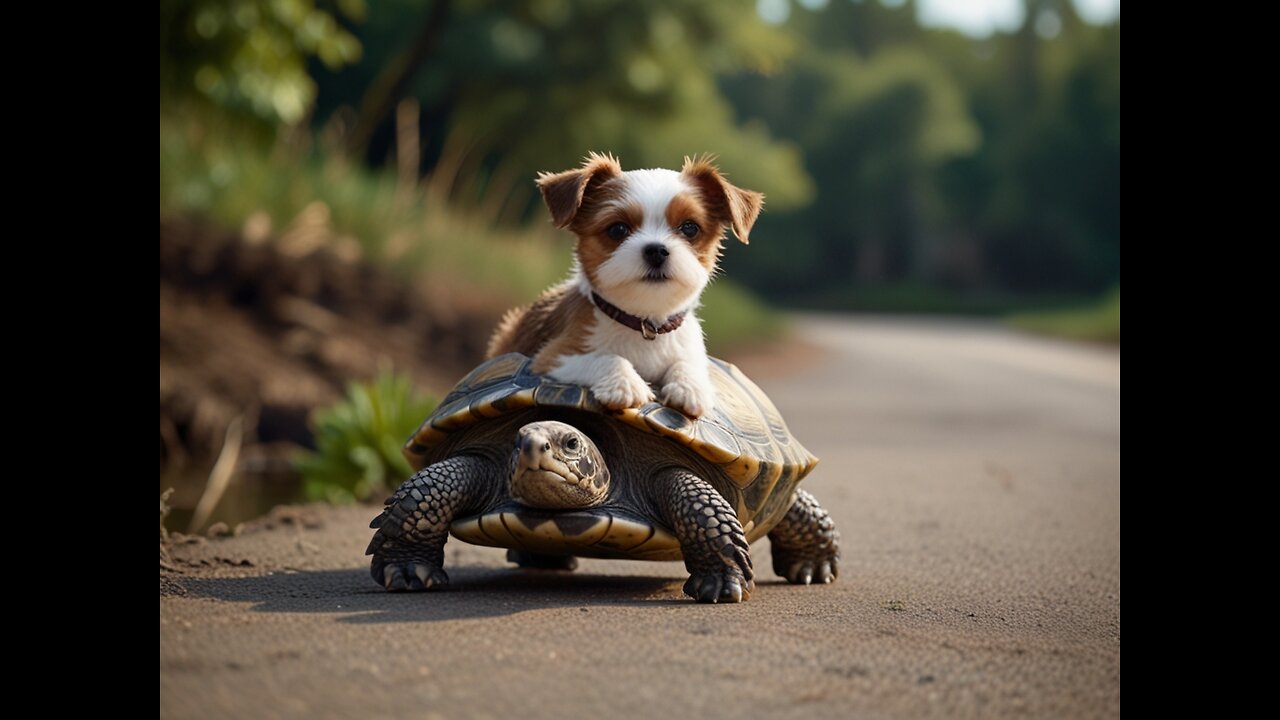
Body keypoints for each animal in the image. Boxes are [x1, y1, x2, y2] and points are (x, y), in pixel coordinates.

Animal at [486, 154, 757, 417]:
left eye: (690, 227)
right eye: (617, 229)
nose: (656, 250)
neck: (645, 324)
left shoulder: (688, 348)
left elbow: (688, 363)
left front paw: (691, 387)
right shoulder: (552, 357)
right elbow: (607, 357)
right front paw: (624, 383)